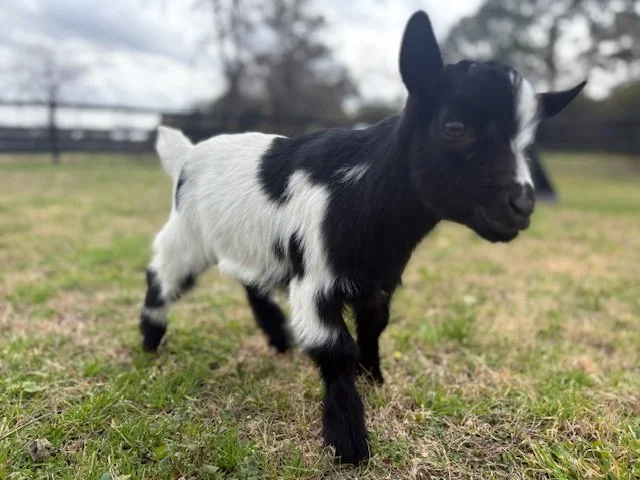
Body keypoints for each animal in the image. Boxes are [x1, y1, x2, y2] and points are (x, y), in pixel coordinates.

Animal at [139, 10, 585, 464]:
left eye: (527, 143)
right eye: (455, 127)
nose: (521, 205)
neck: (362, 191)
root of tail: (186, 155)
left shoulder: (377, 282)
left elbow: (373, 329)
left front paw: (373, 379)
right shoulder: (315, 282)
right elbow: (337, 349)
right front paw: (349, 441)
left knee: (250, 281)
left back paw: (279, 338)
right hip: (186, 235)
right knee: (161, 275)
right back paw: (151, 340)